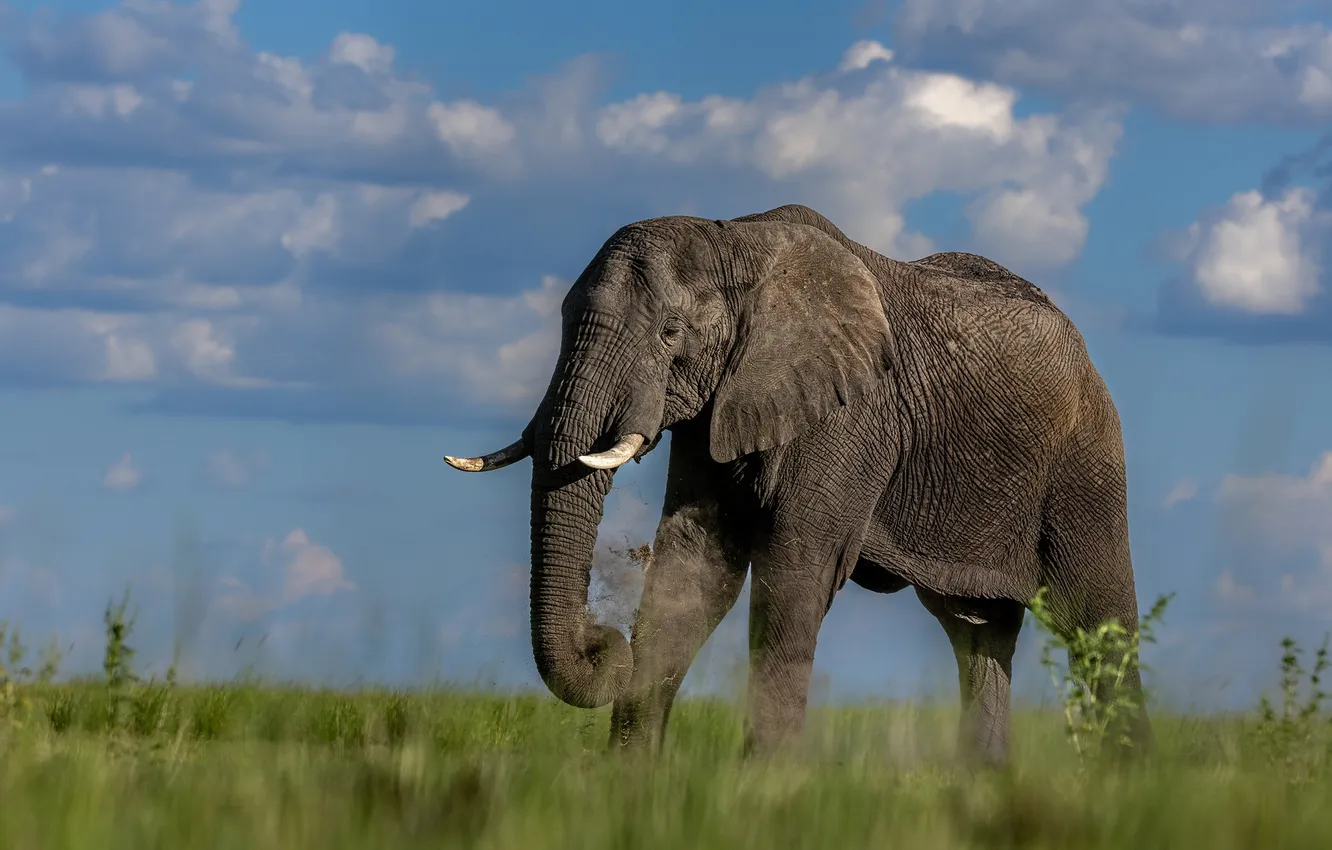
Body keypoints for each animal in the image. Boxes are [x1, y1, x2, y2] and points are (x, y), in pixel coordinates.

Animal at [443, 203, 1153, 765]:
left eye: (670, 332)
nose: (603, 643)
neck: (737, 239)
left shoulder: (851, 414)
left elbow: (794, 573)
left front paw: (766, 785)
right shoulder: (717, 407)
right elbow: (694, 570)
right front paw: (627, 782)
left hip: (1088, 459)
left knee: (1099, 625)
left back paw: (1130, 787)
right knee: (978, 635)